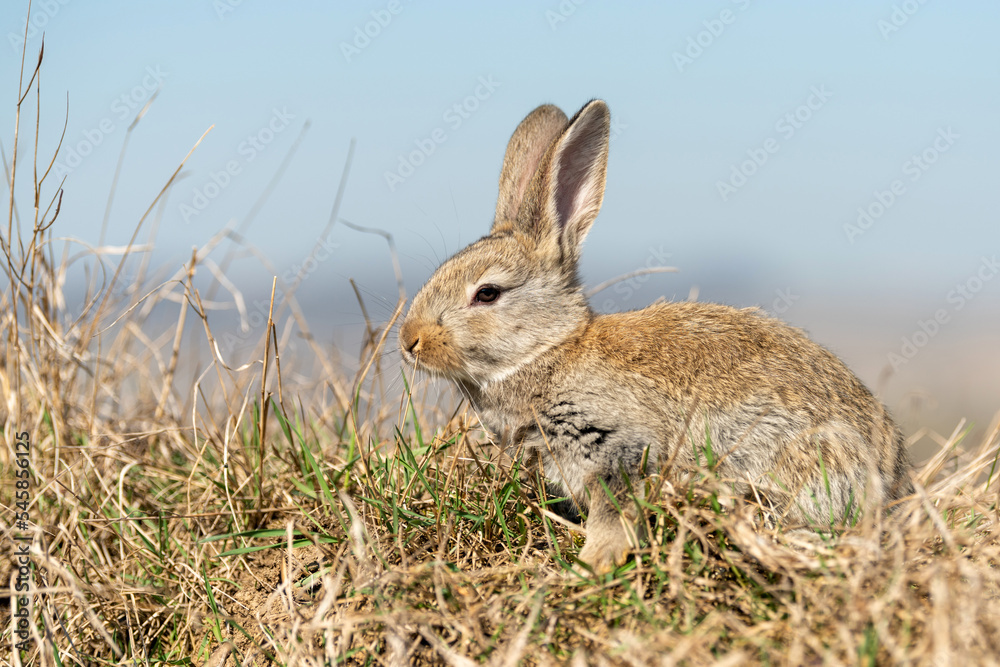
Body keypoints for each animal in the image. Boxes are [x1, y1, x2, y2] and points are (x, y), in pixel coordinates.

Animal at [398, 99, 916, 576]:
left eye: (487, 294)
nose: (408, 341)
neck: (550, 351)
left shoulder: (620, 447)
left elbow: (614, 512)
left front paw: (592, 564)